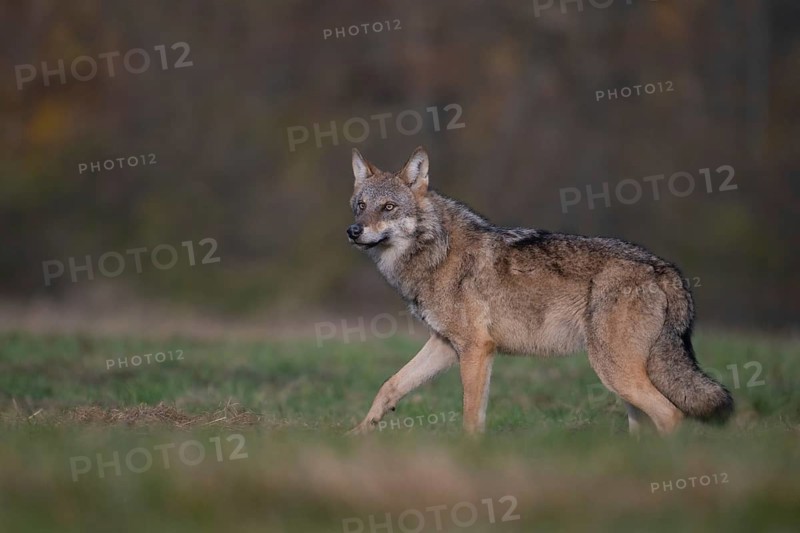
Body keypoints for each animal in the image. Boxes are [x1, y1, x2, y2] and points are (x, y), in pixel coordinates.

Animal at [346, 146, 733, 435]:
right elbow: (390, 385)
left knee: (671, 414)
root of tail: (664, 268)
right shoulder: (445, 345)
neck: (435, 252)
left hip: (614, 372)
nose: (353, 231)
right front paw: (359, 433)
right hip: (622, 382)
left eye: (389, 207)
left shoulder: (476, 349)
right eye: (360, 206)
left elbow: (471, 416)